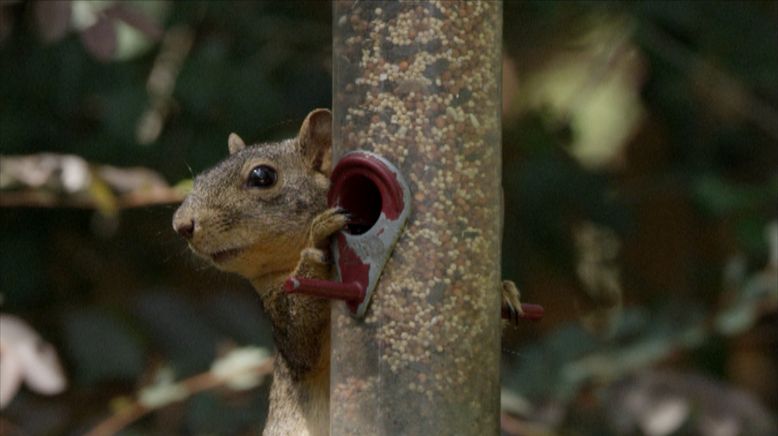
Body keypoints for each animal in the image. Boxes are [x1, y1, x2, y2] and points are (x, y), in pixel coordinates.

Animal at [170, 109, 520, 436]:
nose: (181, 224)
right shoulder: (283, 322)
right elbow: (302, 340)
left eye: (262, 176)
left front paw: (504, 293)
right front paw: (317, 240)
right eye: (198, 181)